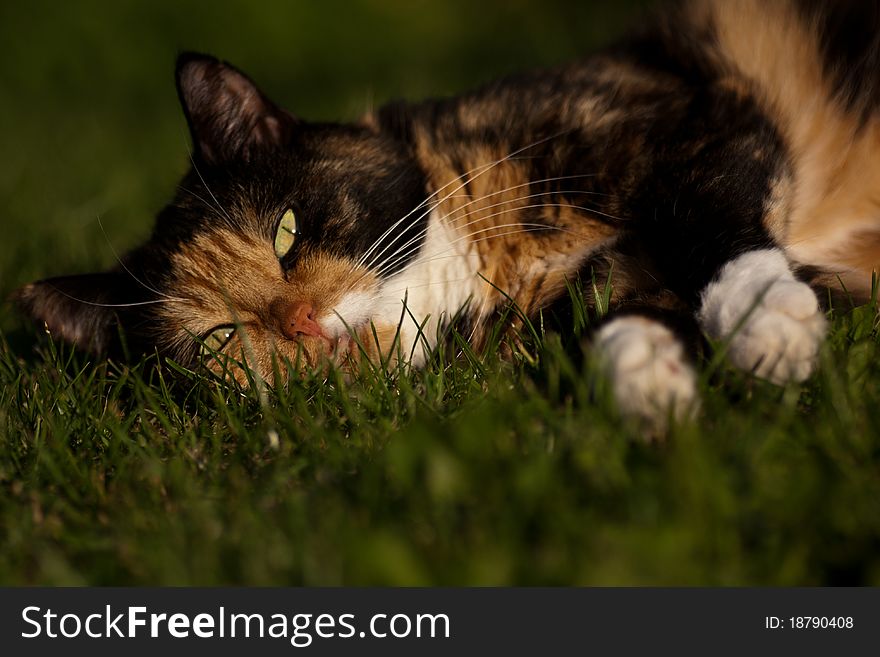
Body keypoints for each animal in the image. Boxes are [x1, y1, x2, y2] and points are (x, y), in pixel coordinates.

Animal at [12, 0, 880, 430]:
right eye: (219, 339)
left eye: (286, 231)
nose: (302, 324)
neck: (489, 263)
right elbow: (610, 312)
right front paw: (645, 374)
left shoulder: (684, 110)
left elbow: (709, 207)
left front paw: (767, 322)